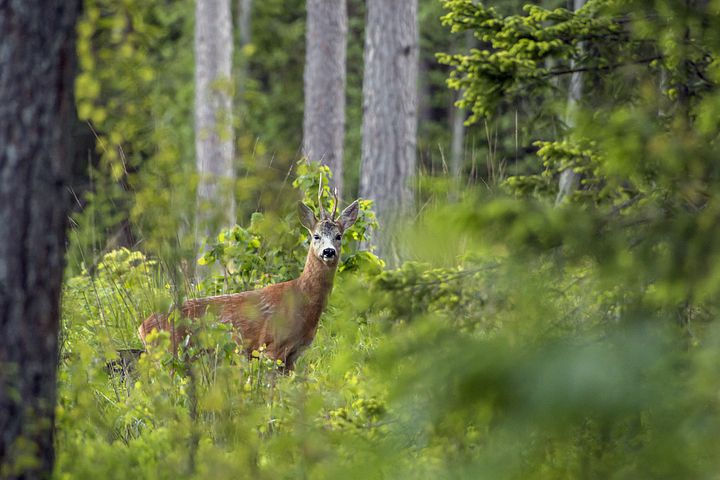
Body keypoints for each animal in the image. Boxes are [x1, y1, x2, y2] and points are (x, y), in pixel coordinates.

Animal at [137, 189, 358, 370]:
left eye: (339, 236)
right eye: (316, 236)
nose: (328, 252)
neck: (302, 300)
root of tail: (142, 327)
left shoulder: (293, 355)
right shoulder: (271, 347)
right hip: (169, 353)